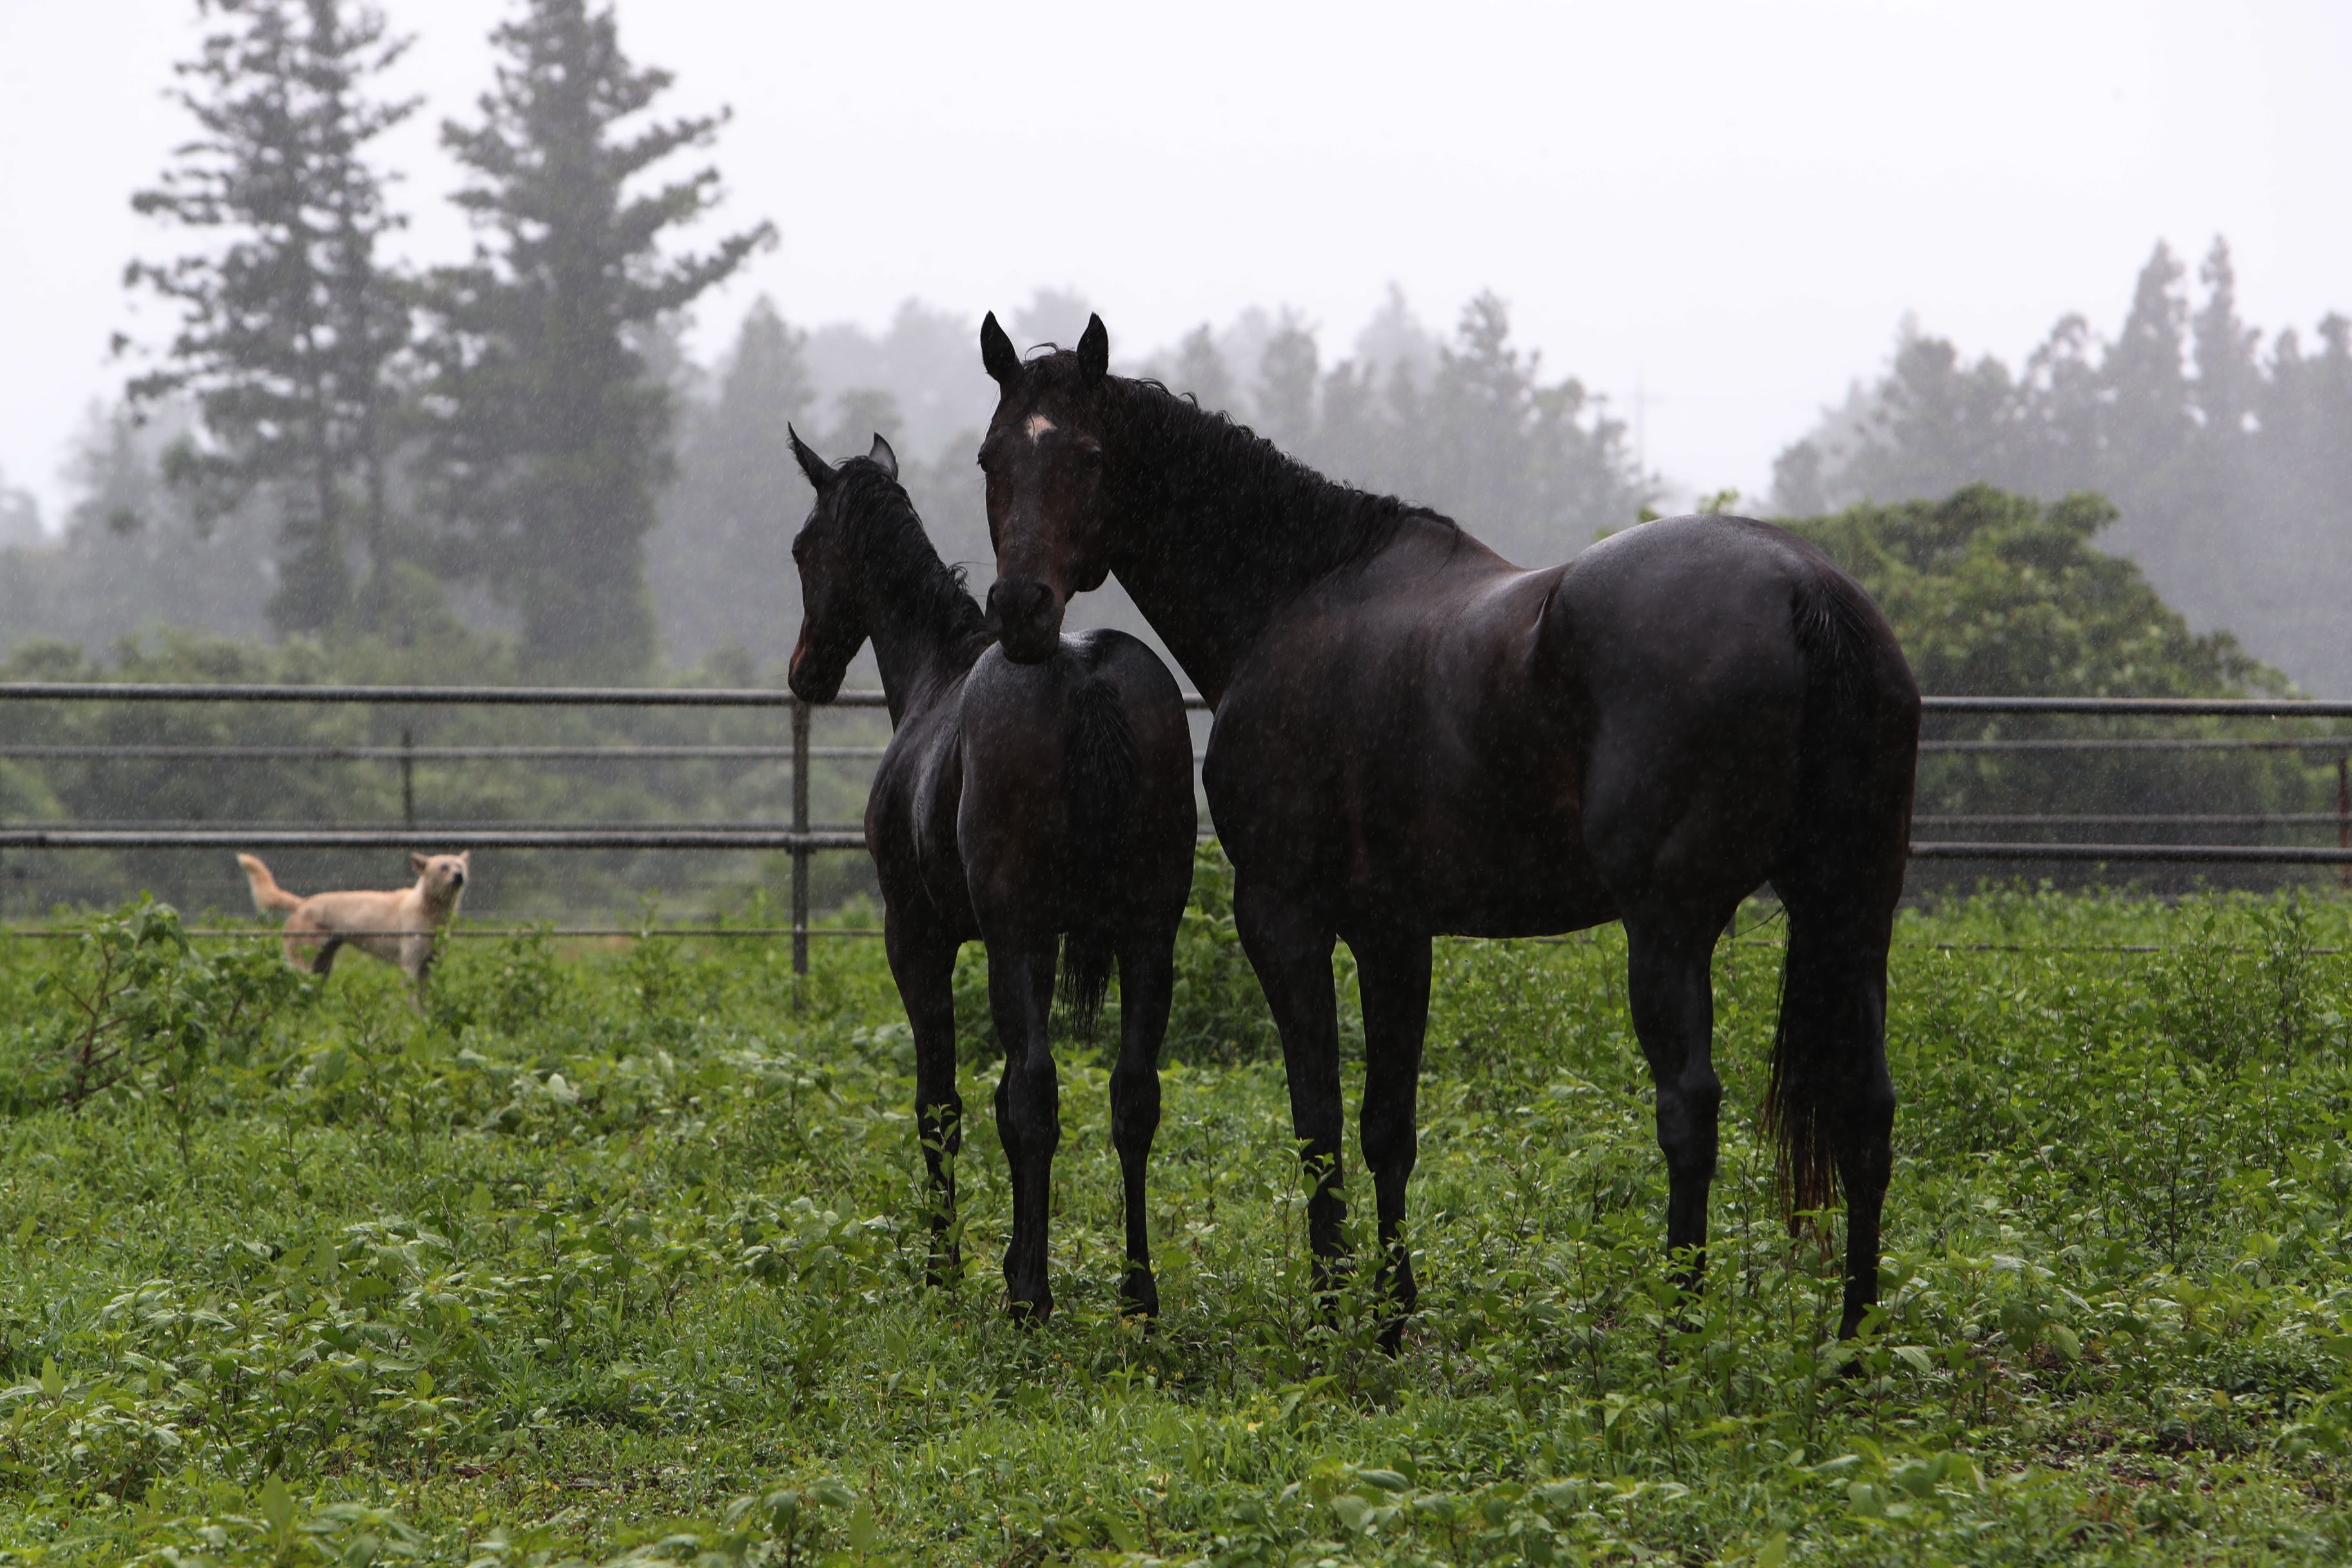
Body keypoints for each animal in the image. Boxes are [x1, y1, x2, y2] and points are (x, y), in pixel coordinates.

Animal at [236, 850, 470, 1001]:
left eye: (459, 866)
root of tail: (302, 903)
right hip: (305, 967)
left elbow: (426, 1004)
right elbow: (413, 1003)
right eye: (444, 867)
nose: (459, 876)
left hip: (322, 968)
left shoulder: (427, 967)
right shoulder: (410, 966)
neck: (430, 910)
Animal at [785, 430, 1195, 1326]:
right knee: (1133, 1095)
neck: (938, 674)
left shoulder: (921, 939)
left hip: (1016, 937)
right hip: (1150, 936)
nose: (804, 673)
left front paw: (949, 1266)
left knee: (1039, 1095)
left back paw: (1033, 1297)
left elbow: (945, 1104)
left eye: (802, 547)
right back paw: (1137, 1289)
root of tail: (1089, 677)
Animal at [968, 319, 1910, 1354]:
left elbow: (1317, 1116)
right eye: (992, 457)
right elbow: (1388, 1125)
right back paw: (1855, 1340)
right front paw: (1391, 1313)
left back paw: (1681, 1332)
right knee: (1866, 1107)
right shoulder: (1395, 932)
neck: (1297, 597)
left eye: (1090, 457)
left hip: (1672, 928)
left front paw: (1333, 1310)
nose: (1021, 611)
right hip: (1854, 907)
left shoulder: (1284, 917)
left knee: (1689, 1111)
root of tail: (1805, 592)